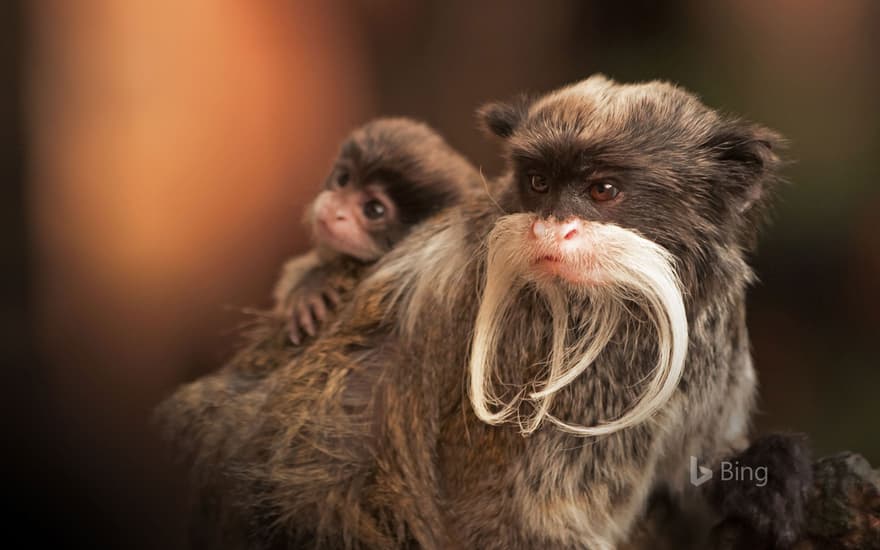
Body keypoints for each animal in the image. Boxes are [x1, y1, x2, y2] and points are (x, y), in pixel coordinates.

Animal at [160, 74, 812, 550]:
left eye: (602, 191)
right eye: (540, 183)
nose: (550, 227)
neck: (631, 317)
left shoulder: (712, 341)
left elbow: (692, 480)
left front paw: (767, 476)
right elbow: (503, 521)